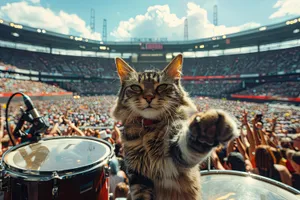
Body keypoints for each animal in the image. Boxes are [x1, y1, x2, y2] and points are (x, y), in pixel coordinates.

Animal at [112, 54, 239, 200]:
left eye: (161, 86)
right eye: (136, 87)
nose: (149, 97)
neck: (149, 128)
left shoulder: (177, 155)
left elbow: (191, 144)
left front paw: (207, 128)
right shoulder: (137, 174)